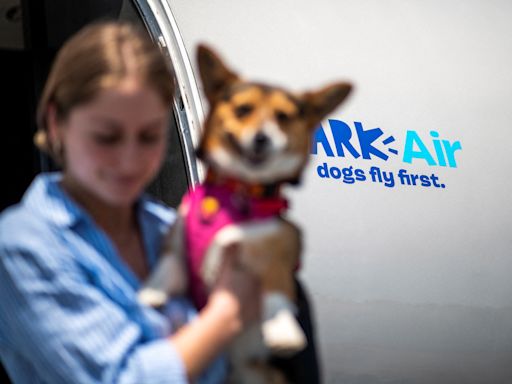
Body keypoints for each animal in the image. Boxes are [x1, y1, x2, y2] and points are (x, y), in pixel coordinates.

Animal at [138, 44, 350, 380]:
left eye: (283, 117)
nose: (262, 139)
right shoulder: (177, 242)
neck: (236, 192)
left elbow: (272, 282)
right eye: (242, 110)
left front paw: (283, 330)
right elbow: (168, 266)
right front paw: (151, 291)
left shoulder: (281, 250)